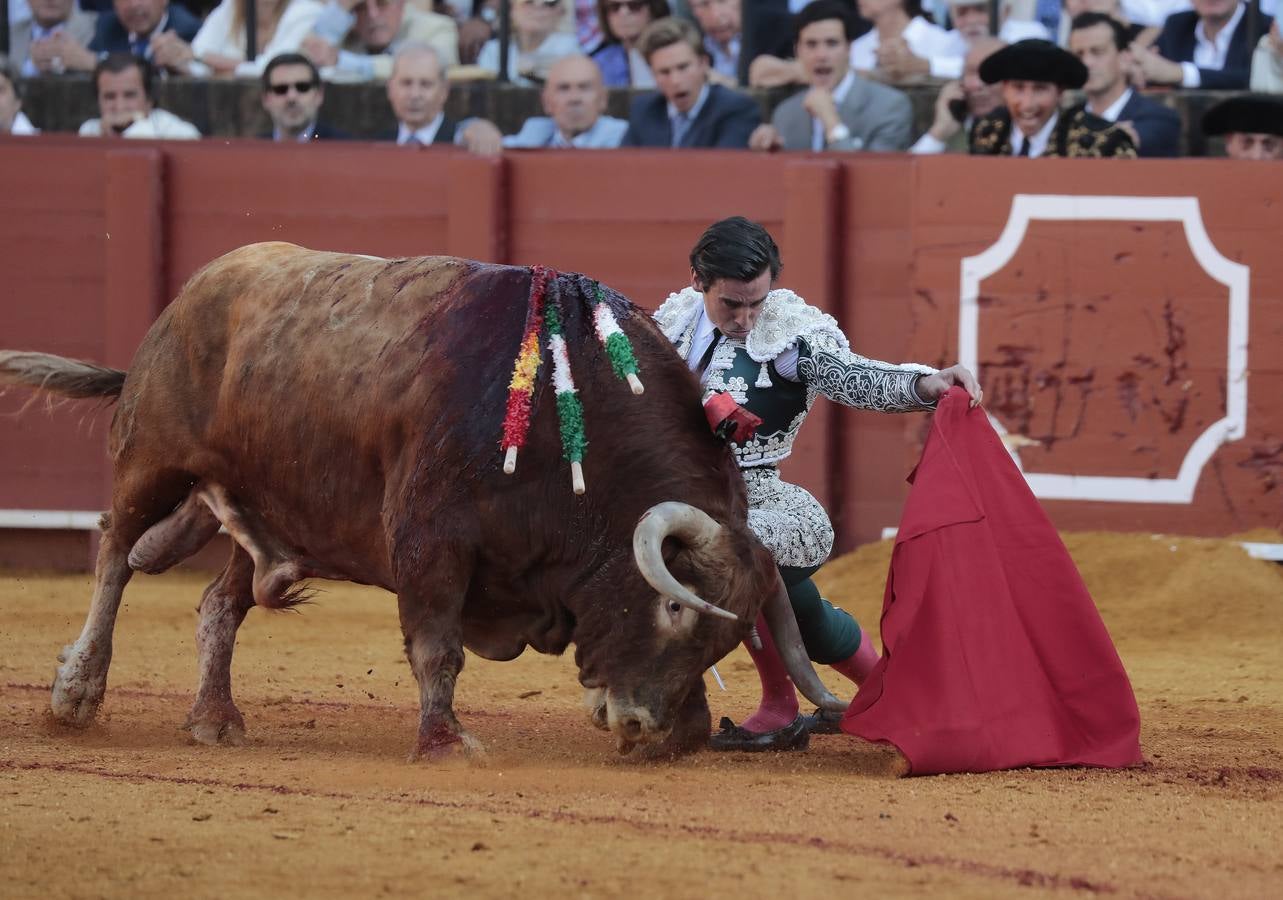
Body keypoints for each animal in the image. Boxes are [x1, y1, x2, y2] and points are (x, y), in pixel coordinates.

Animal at [5, 242, 841, 754]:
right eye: (672, 606)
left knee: (219, 600)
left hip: (270, 502)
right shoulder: (431, 544)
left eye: (724, 642)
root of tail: (194, 291)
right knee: (116, 551)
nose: (651, 729)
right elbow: (437, 648)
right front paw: (445, 743)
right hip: (153, 460)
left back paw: (216, 716)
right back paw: (75, 692)